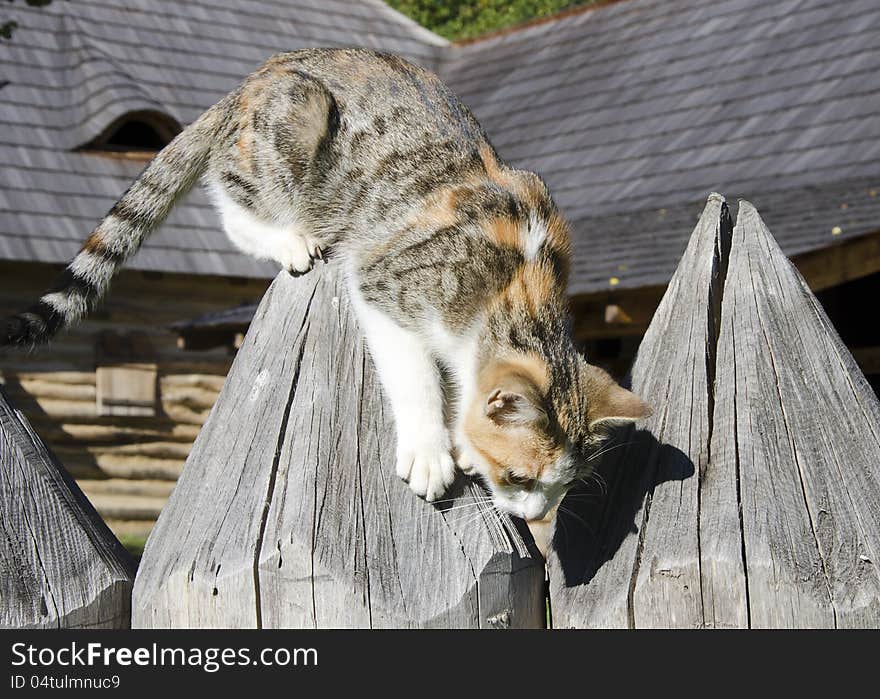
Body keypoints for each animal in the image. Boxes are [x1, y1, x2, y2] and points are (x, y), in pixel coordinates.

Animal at [0, 47, 648, 520]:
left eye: (562, 489)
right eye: (519, 476)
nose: (534, 516)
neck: (518, 289)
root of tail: (265, 70)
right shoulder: (386, 284)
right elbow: (416, 377)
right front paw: (430, 449)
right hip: (298, 123)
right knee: (229, 194)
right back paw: (289, 237)